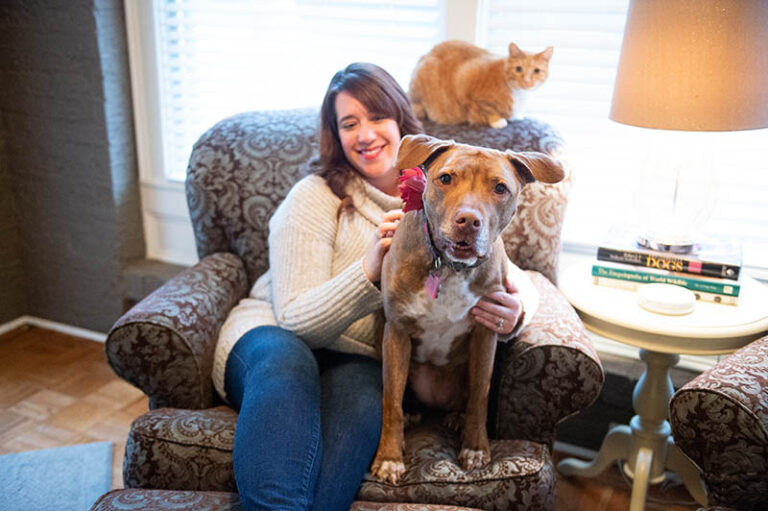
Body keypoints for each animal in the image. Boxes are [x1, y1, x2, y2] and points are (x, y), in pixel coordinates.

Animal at [370, 133, 564, 484]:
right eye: (446, 178)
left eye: (500, 188)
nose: (469, 220)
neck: (449, 267)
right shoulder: (397, 332)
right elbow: (390, 400)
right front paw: (389, 458)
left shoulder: (485, 333)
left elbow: (480, 393)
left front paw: (475, 447)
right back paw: (413, 413)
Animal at [408, 42, 552, 130]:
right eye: (518, 69)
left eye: (536, 71)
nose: (526, 81)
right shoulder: (467, 80)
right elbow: (488, 110)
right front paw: (497, 121)